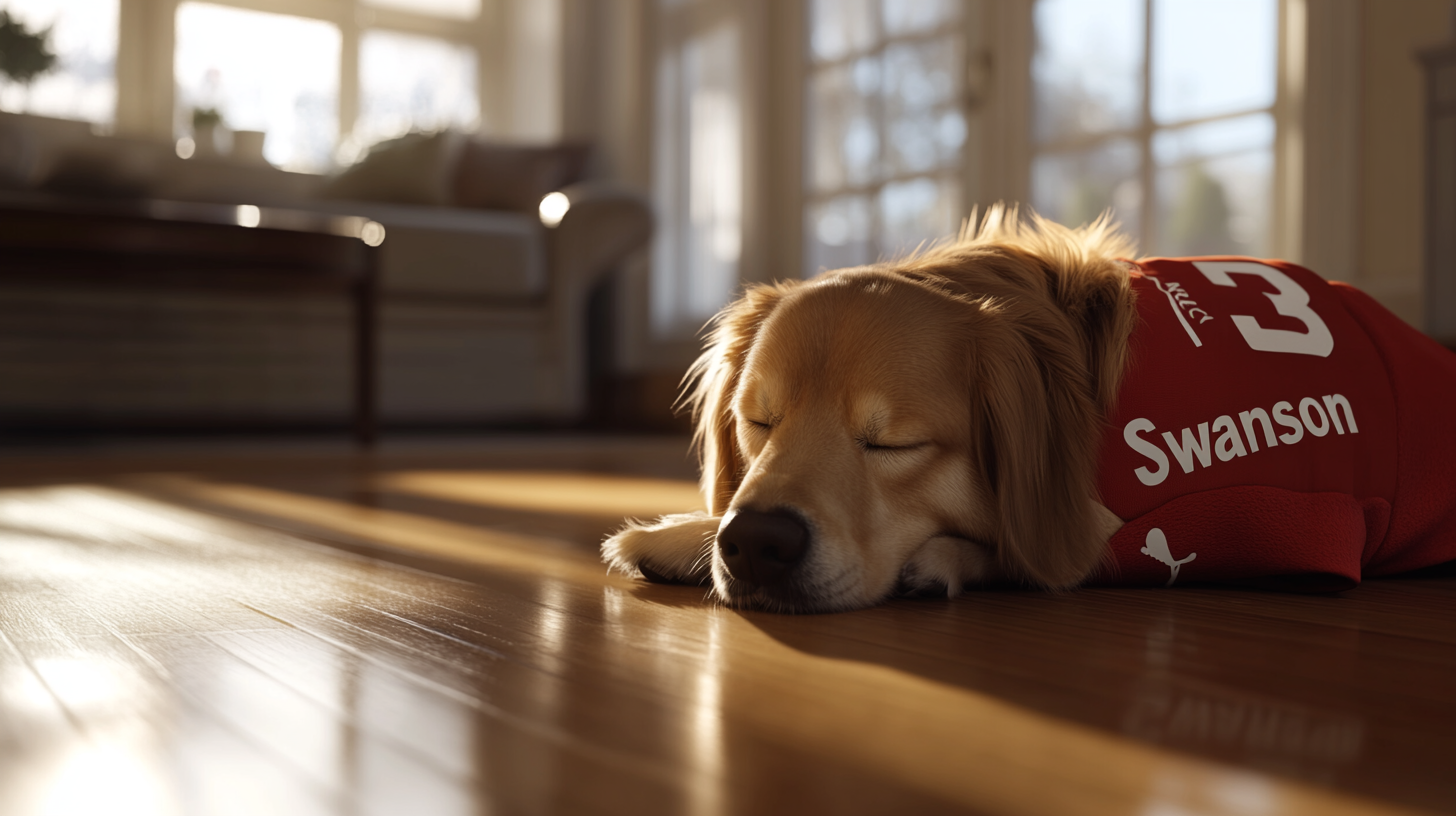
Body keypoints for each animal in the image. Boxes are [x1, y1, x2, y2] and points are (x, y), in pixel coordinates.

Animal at [596, 206, 1450, 609]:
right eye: (759, 422)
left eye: (893, 444)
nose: (757, 544)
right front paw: (687, 534)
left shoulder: (1214, 527)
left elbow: (1028, 550)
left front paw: (941, 558)